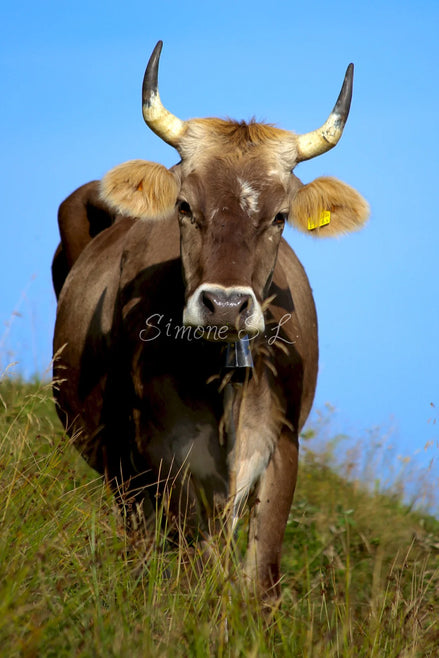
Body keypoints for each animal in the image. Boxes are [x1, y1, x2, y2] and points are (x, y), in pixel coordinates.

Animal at [52, 41, 369, 598]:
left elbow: (260, 575)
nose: (225, 305)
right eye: (183, 205)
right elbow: (188, 561)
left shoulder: (283, 442)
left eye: (280, 216)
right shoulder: (160, 450)